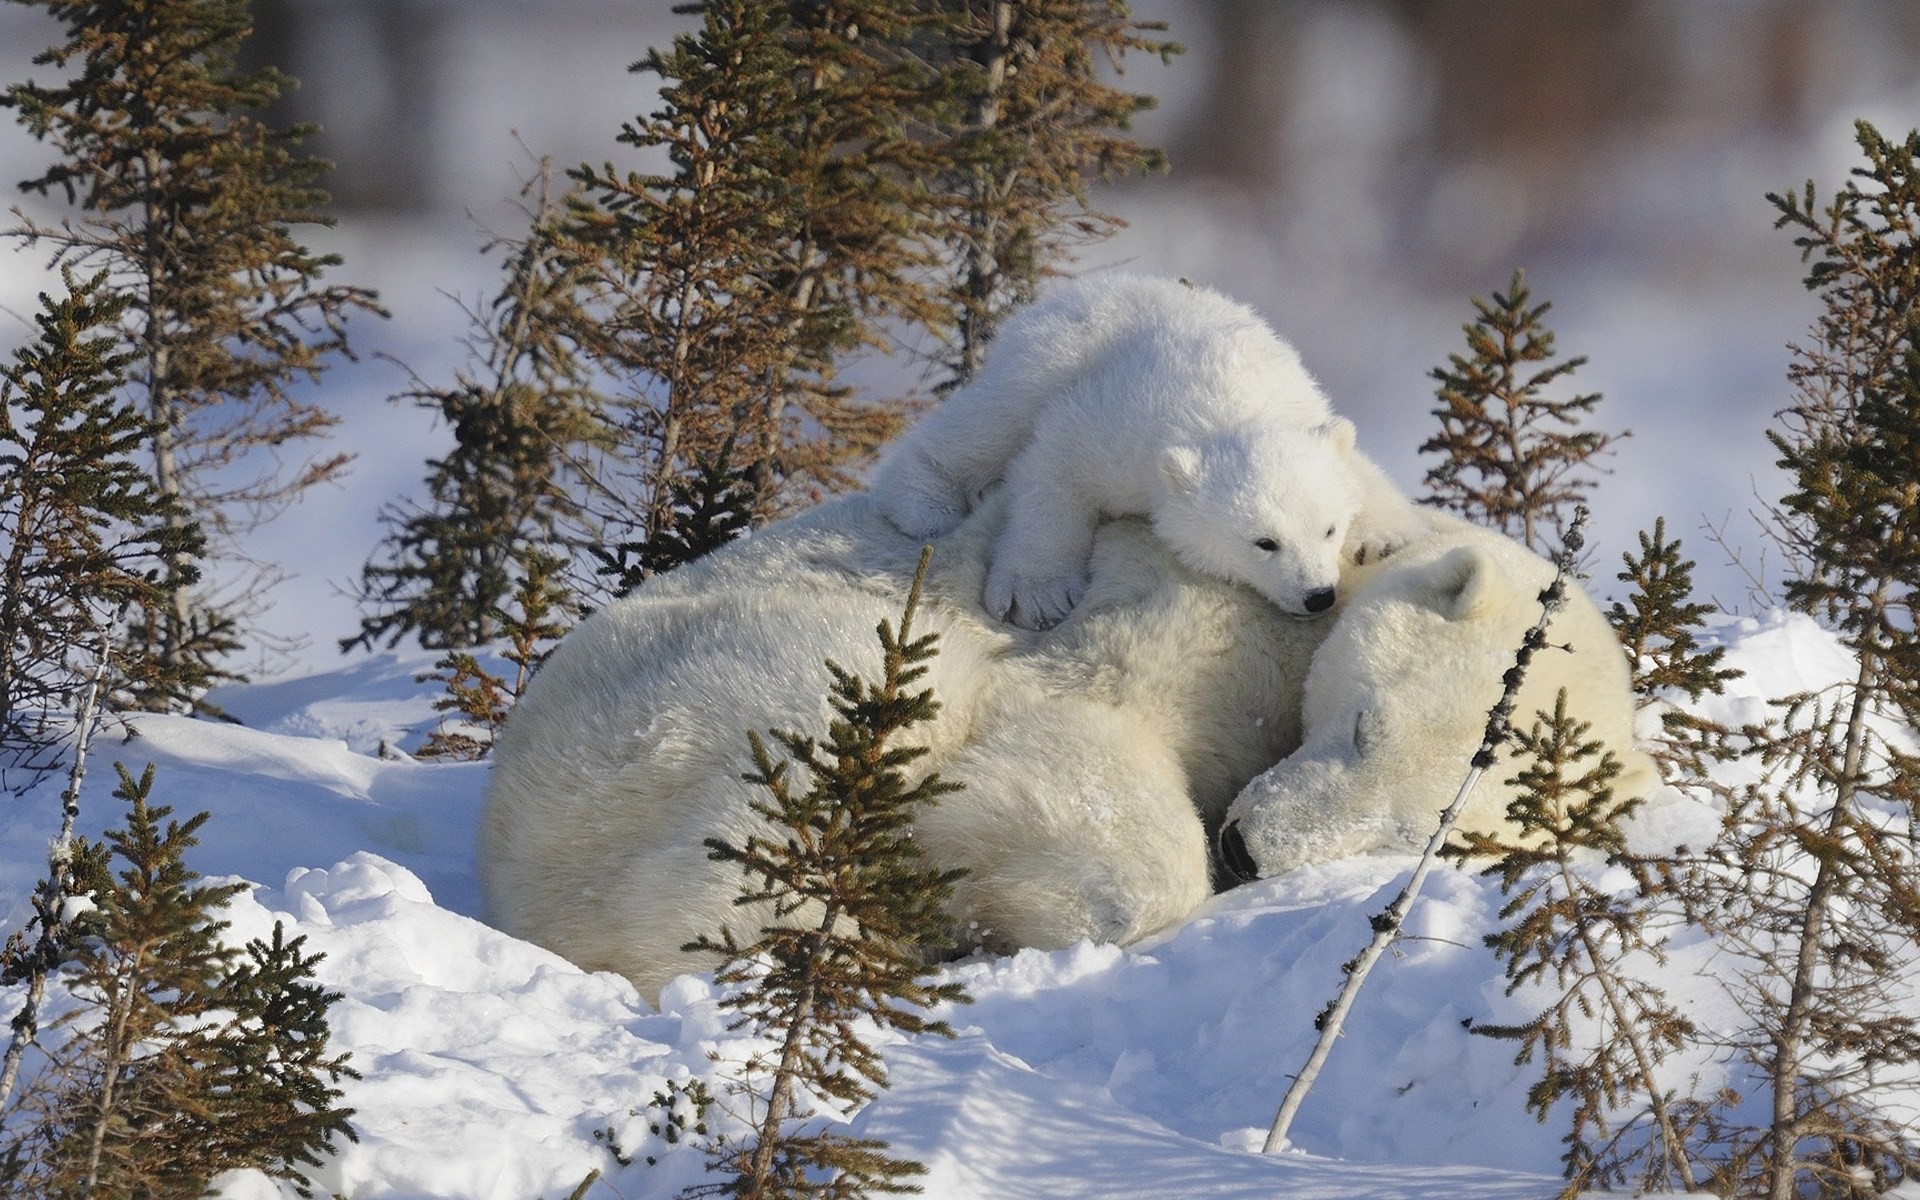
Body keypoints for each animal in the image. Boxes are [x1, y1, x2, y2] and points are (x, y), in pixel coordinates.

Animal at [870, 273, 1427, 629]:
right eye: (1264, 542)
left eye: (1329, 529)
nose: (1318, 596)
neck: (1231, 402)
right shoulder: (1119, 429)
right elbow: (1055, 467)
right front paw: (1038, 593)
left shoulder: (1300, 402)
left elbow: (1354, 465)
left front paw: (1382, 534)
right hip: (1047, 358)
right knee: (988, 422)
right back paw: (925, 503)